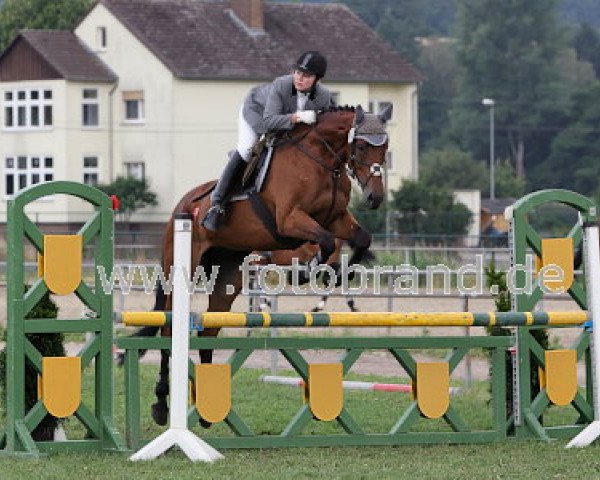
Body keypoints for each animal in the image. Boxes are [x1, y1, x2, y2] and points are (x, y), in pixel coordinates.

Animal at [129, 104, 392, 424]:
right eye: (363, 146)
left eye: (385, 148)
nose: (375, 197)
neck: (322, 160)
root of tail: (181, 206)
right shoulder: (290, 220)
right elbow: (326, 242)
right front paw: (307, 271)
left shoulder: (337, 219)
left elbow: (361, 238)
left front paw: (342, 272)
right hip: (181, 269)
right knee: (168, 329)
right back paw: (160, 403)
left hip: (227, 278)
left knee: (208, 331)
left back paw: (206, 409)